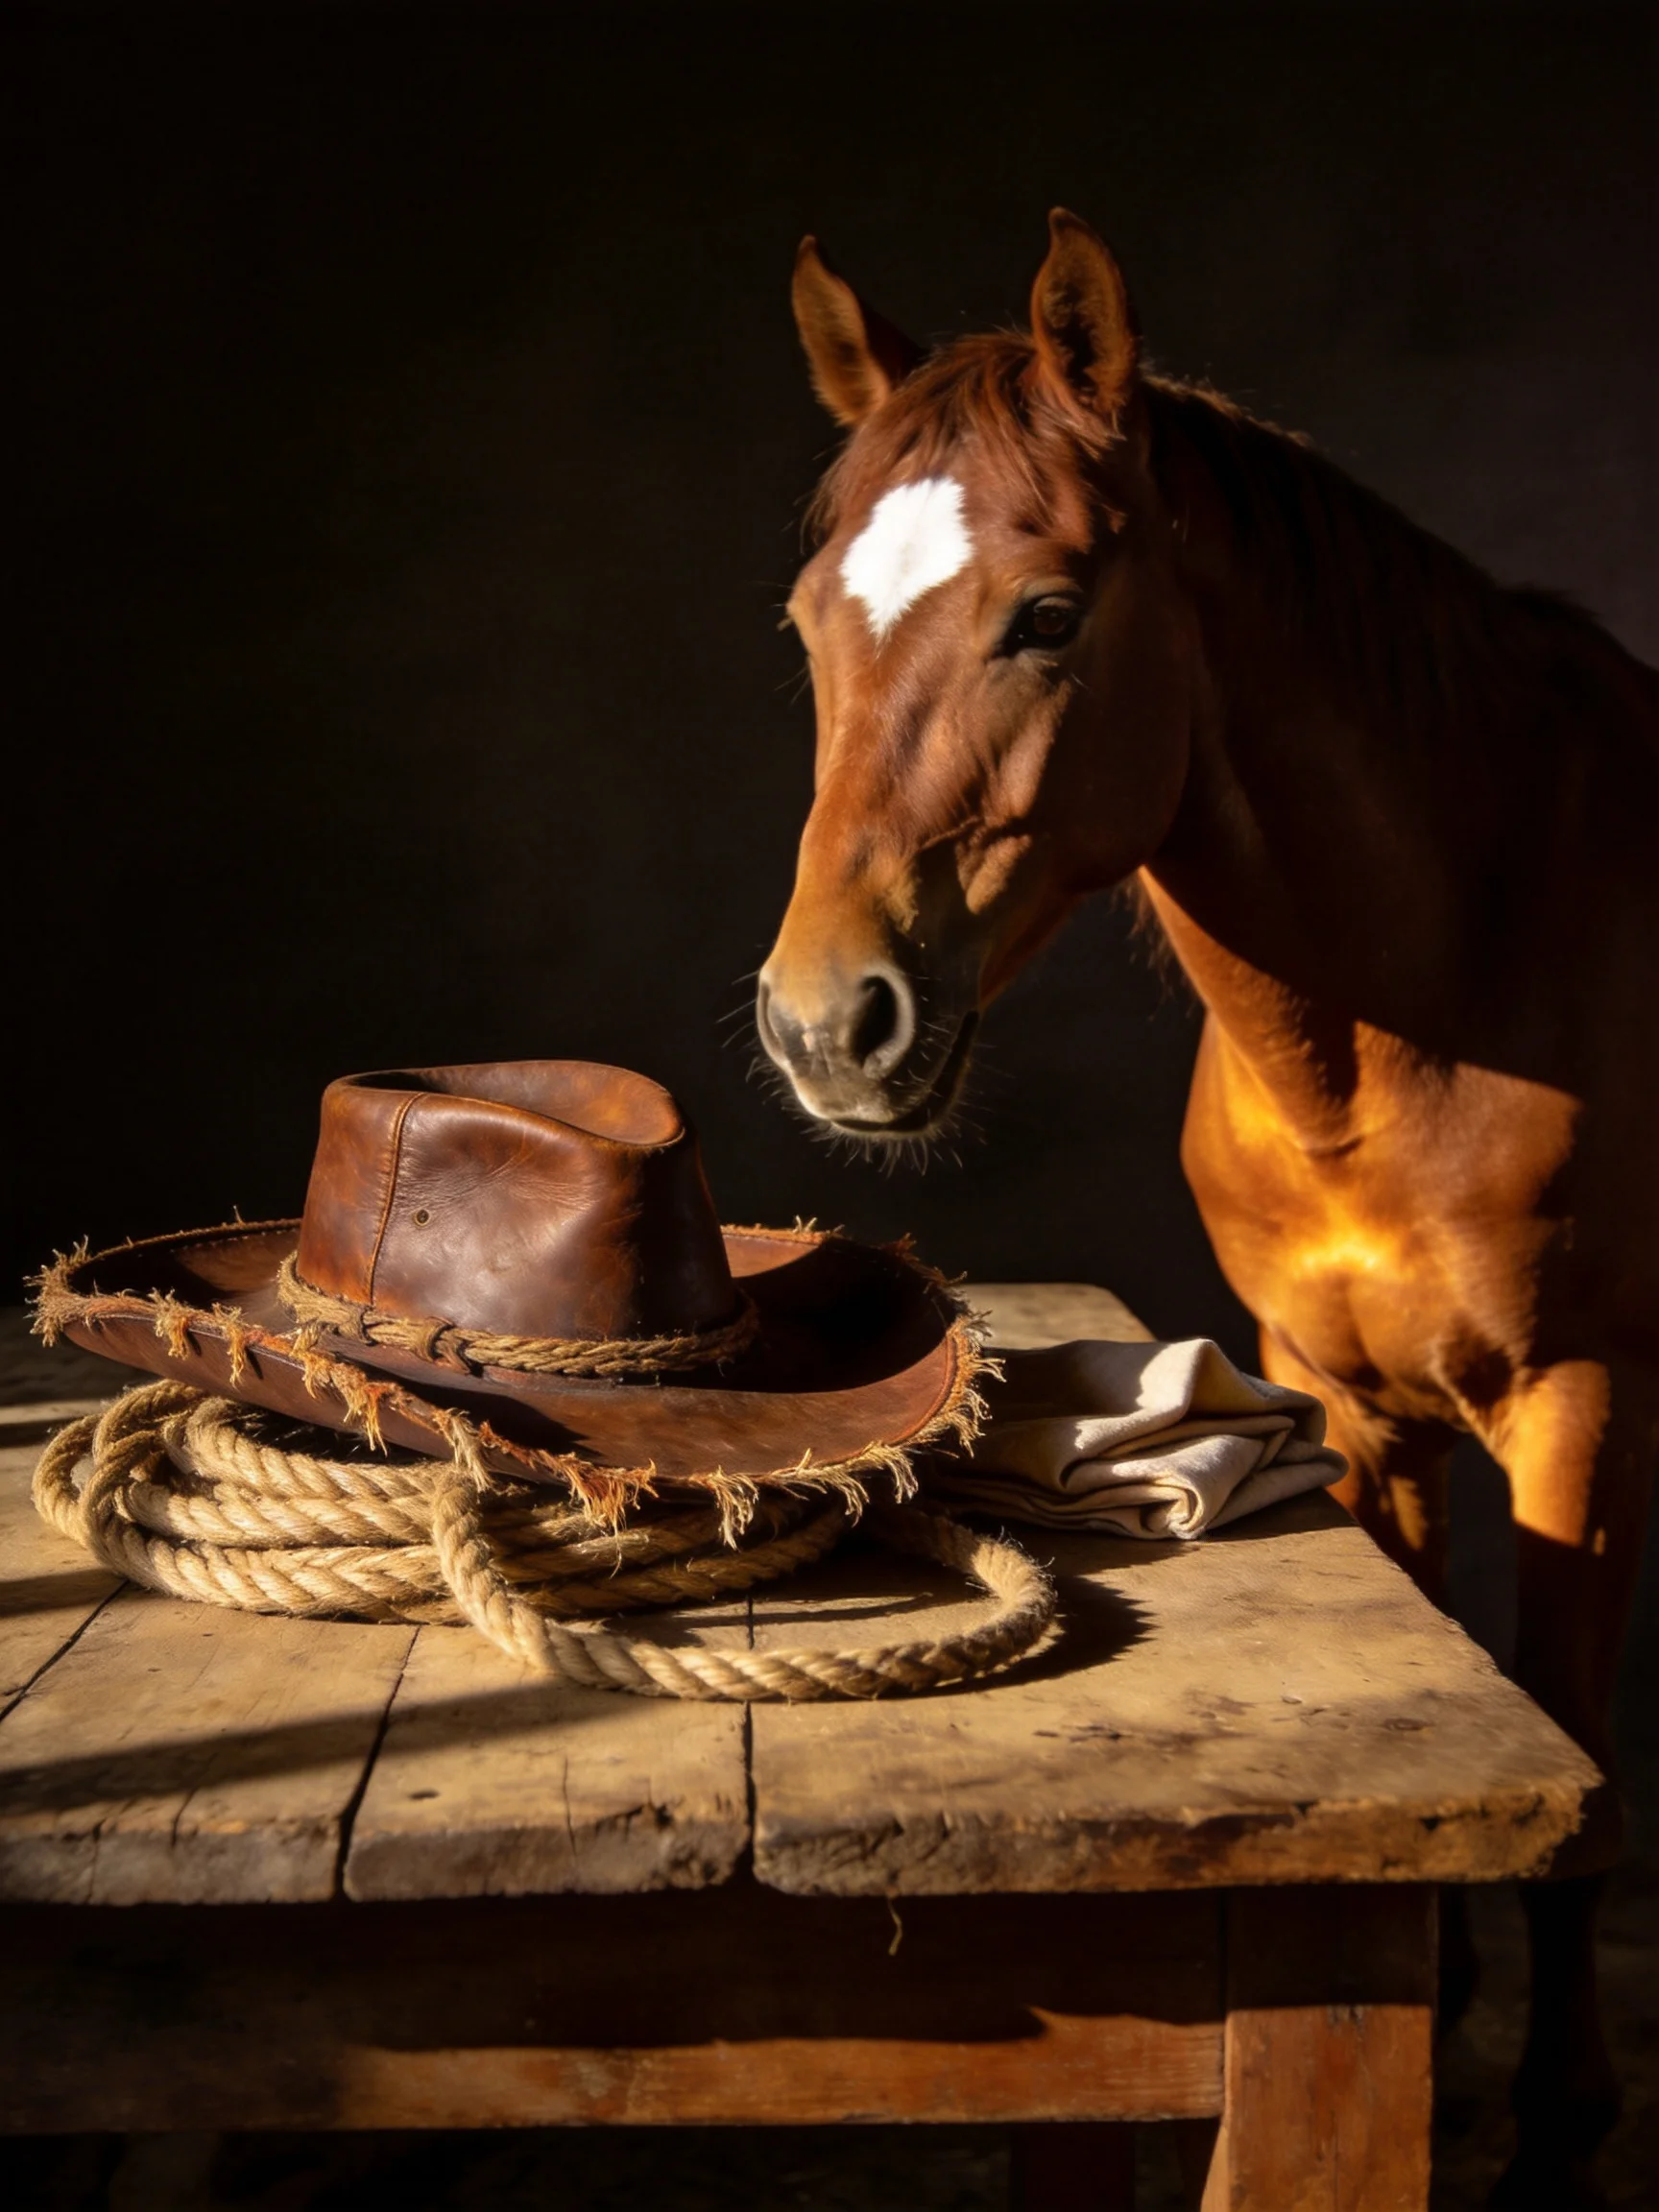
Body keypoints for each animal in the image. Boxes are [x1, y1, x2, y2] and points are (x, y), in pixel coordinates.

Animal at [755, 210, 1658, 2203]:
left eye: (1043, 614)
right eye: (805, 622)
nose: (825, 1022)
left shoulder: (1580, 1411)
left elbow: (1580, 1789)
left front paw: (1557, 2121)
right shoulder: (1342, 1400)